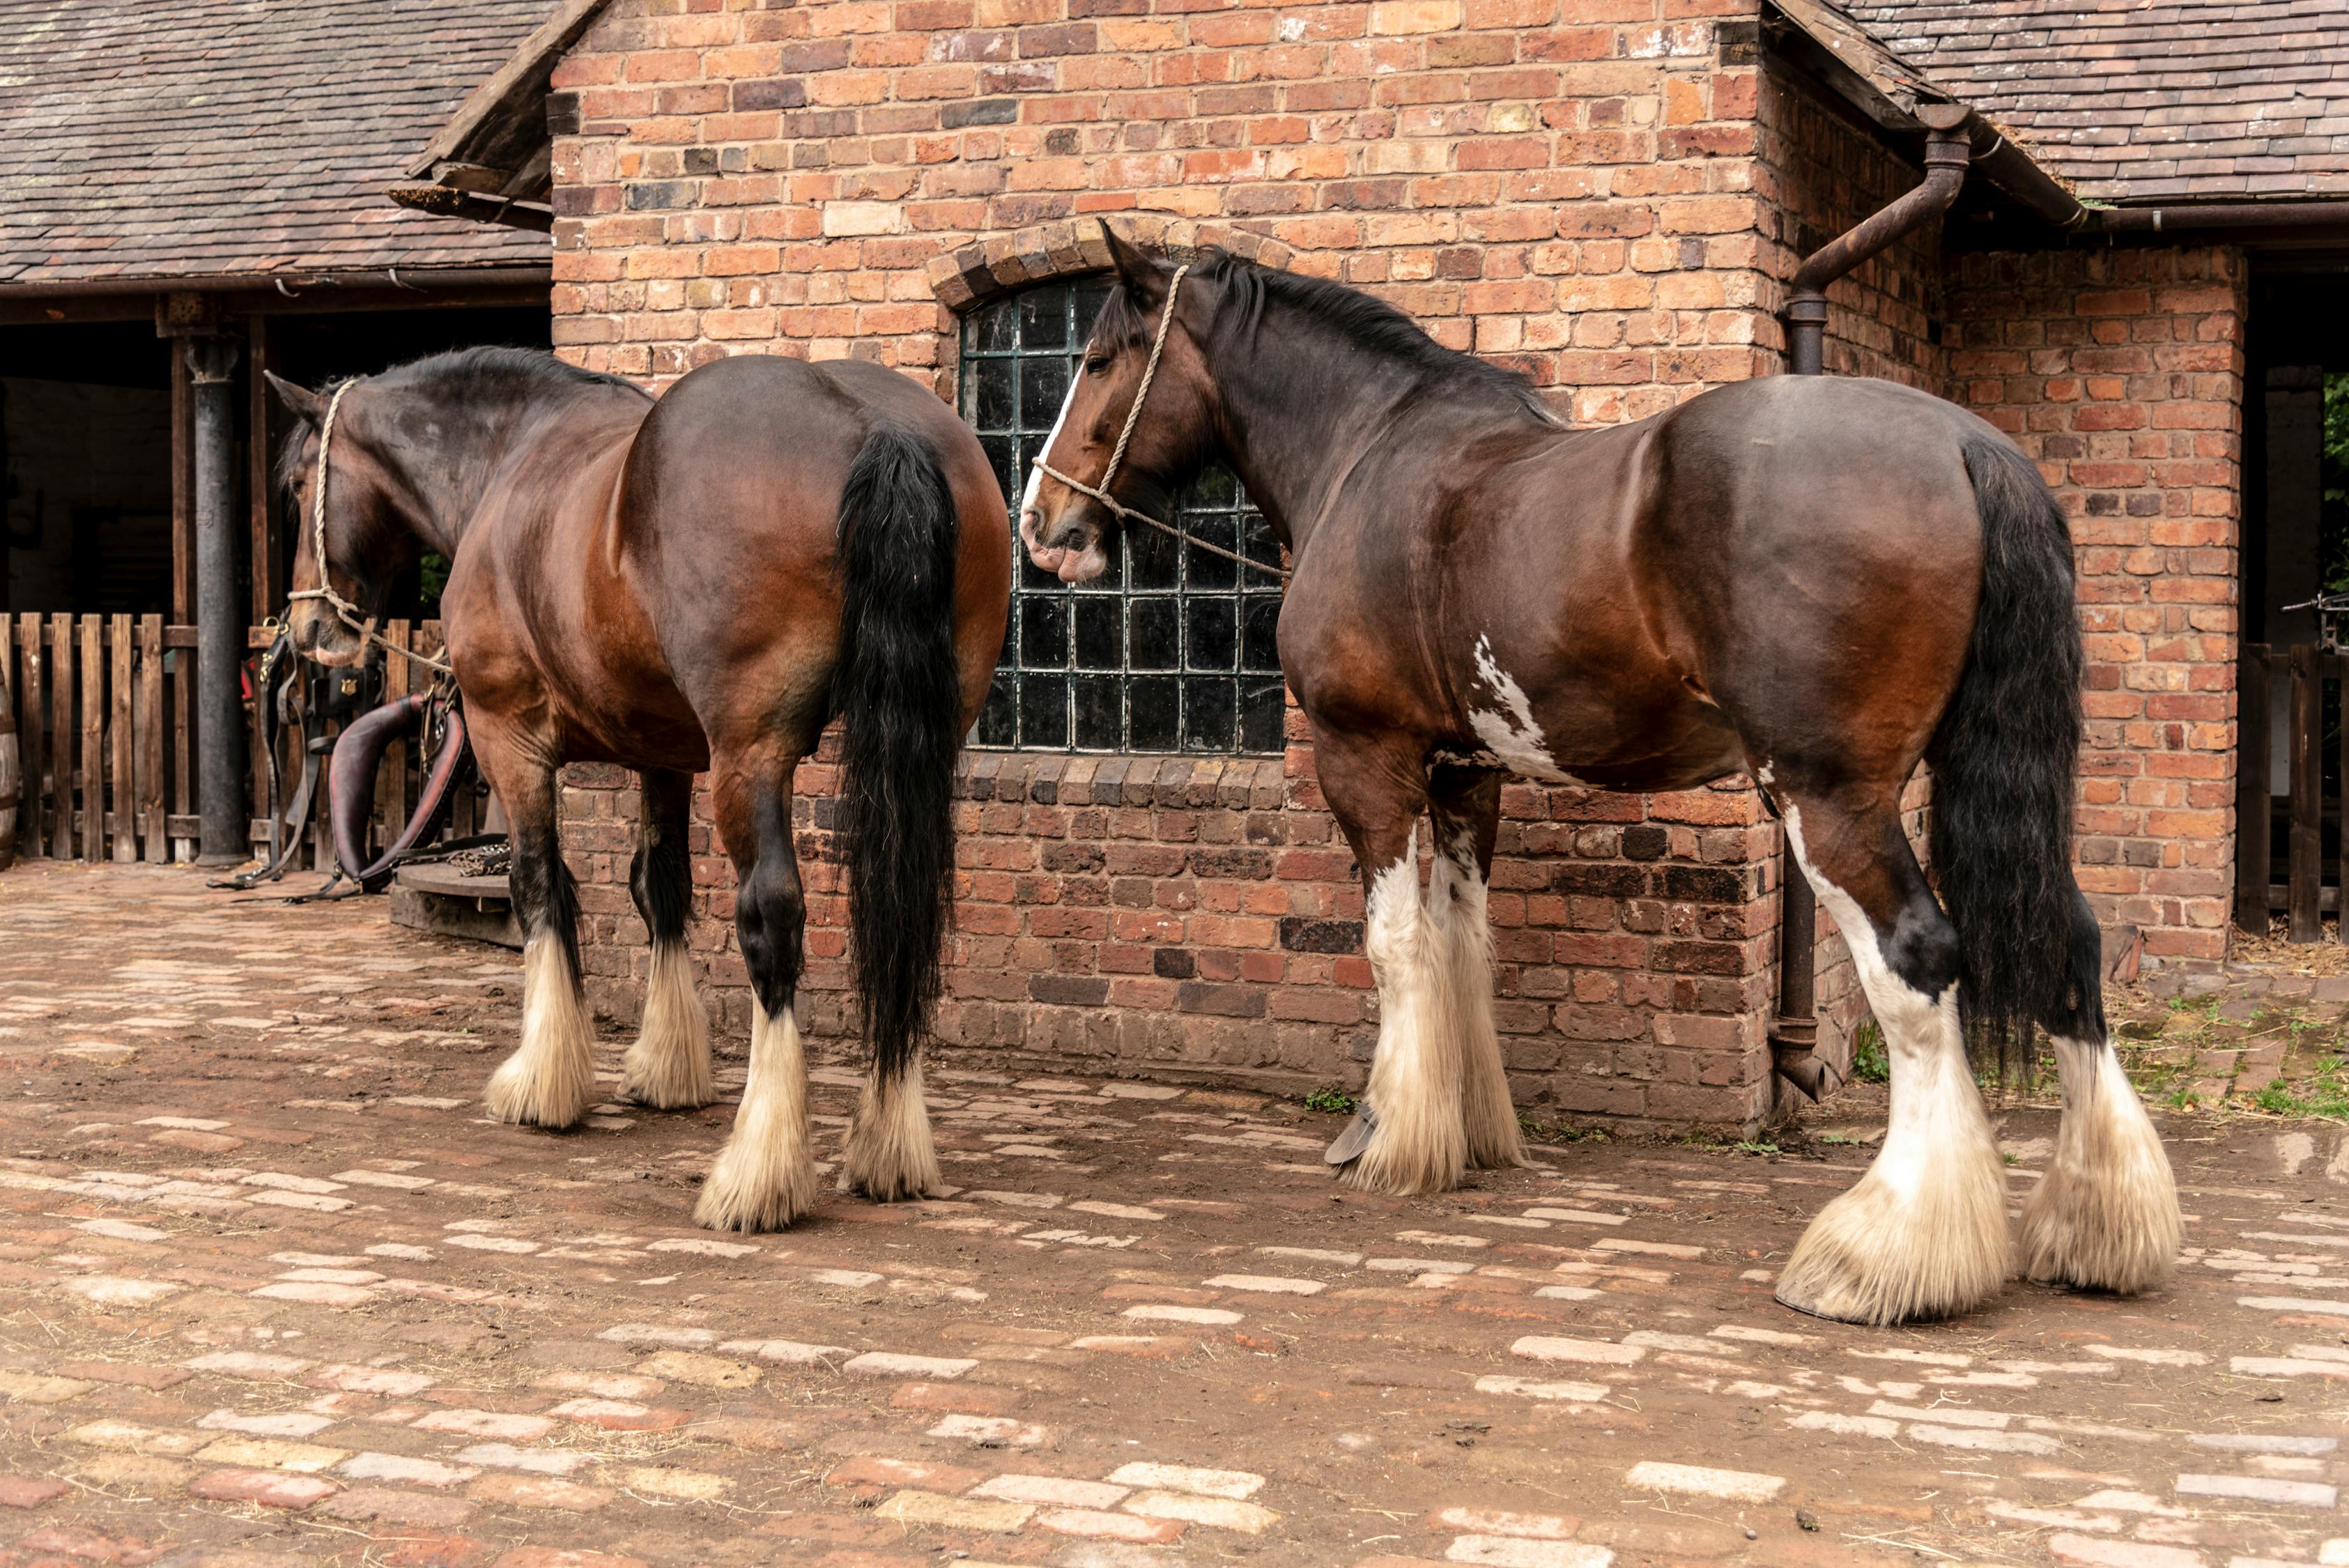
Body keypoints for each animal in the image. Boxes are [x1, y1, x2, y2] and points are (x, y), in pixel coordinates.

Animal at [270, 350, 1015, 1231]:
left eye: (293, 486)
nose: (310, 632)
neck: (510, 455)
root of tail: (876, 425)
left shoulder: (507, 736)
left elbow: (540, 886)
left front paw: (543, 1081)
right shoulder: (665, 755)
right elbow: (659, 888)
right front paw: (666, 1067)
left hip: (750, 755)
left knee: (772, 919)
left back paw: (757, 1170)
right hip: (927, 746)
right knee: (901, 908)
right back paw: (887, 1143)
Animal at [1029, 232, 2180, 1335]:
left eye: (1098, 357)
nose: (1046, 524)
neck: (1368, 453)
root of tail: (1961, 444)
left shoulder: (1367, 759)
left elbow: (1395, 946)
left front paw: (1390, 1137)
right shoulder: (1467, 775)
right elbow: (1461, 944)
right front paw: (1467, 1129)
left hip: (1827, 796)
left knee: (1915, 963)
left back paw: (1880, 1257)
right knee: (2065, 939)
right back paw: (2096, 1225)